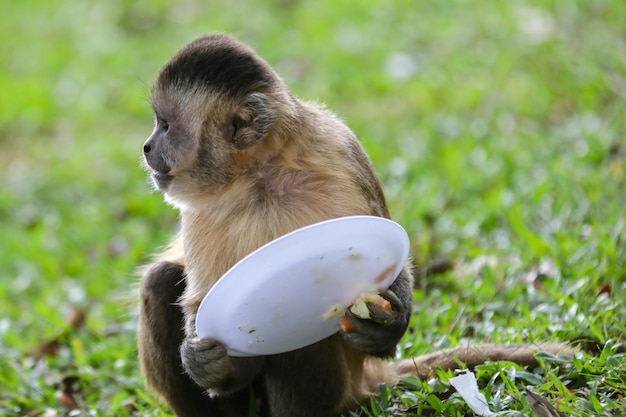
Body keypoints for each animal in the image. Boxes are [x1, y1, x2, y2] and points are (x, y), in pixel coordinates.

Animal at [136, 33, 572, 416]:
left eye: (166, 125)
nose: (147, 146)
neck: (260, 175)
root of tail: (368, 379)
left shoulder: (339, 149)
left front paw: (387, 328)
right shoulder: (200, 206)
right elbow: (201, 302)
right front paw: (215, 365)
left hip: (346, 382)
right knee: (161, 281)